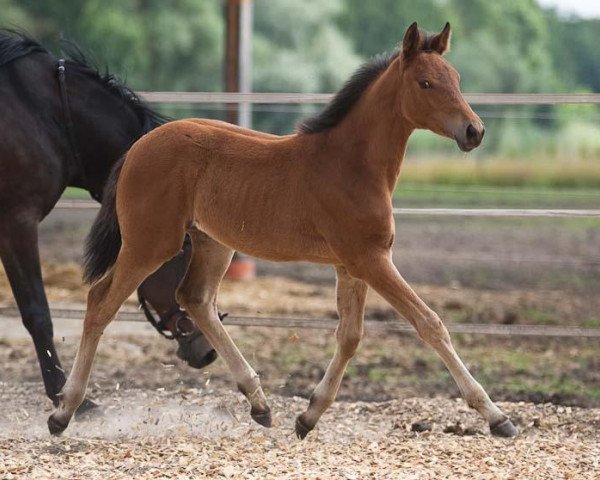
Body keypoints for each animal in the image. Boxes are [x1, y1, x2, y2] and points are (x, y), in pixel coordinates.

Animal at [0, 31, 216, 412]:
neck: (46, 115)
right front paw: (65, 395)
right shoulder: (17, 223)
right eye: (185, 246)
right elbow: (37, 313)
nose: (207, 351)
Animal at [50, 24, 520, 440]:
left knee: (195, 299)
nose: (474, 131)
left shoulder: (351, 266)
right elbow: (430, 323)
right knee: (100, 302)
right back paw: (63, 411)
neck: (351, 164)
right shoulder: (372, 259)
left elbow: (350, 337)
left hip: (212, 242)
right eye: (425, 83)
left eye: (456, 80)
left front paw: (308, 417)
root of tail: (137, 147)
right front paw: (497, 418)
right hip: (150, 243)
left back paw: (259, 404)